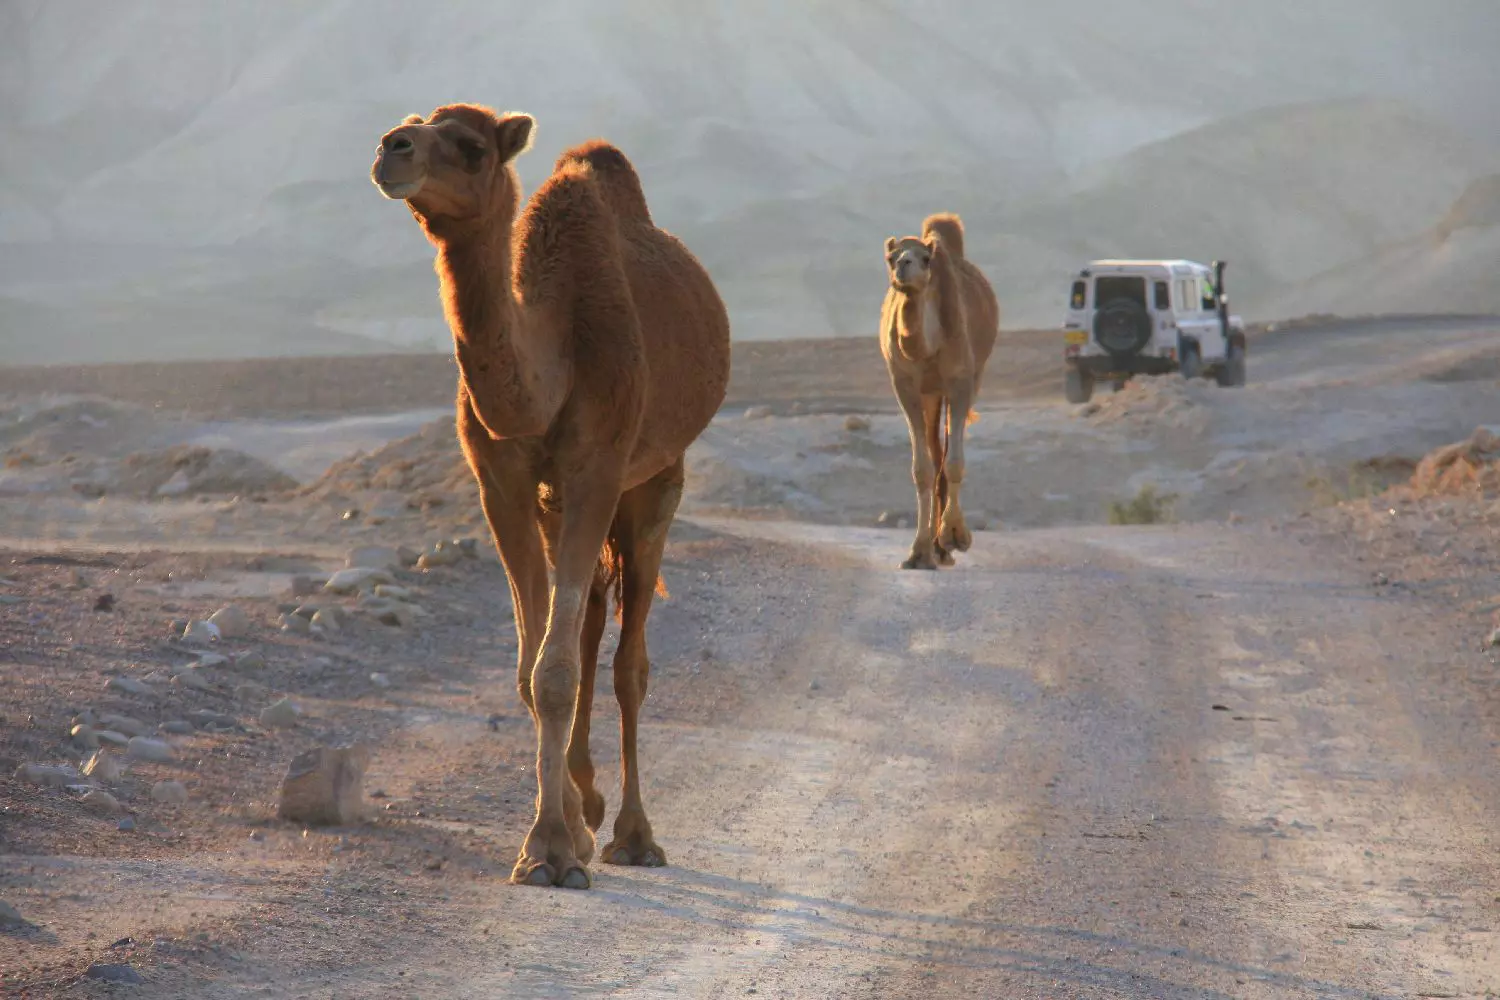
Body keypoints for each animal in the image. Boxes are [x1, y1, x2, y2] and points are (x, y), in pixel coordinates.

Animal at [372, 105, 729, 893]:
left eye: (471, 147)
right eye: (414, 122)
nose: (390, 148)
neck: (555, 352)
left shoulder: (599, 466)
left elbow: (557, 670)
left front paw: (552, 851)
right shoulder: (500, 484)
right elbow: (531, 669)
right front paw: (562, 830)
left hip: (656, 478)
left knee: (629, 662)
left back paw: (633, 834)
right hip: (557, 501)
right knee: (591, 618)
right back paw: (591, 807)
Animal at [876, 211, 996, 569]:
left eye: (925, 259)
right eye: (891, 257)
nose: (904, 265)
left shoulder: (960, 381)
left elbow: (953, 462)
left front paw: (955, 536)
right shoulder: (905, 385)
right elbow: (922, 468)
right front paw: (918, 552)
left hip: (971, 378)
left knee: (946, 452)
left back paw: (945, 546)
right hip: (931, 394)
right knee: (934, 450)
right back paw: (935, 548)